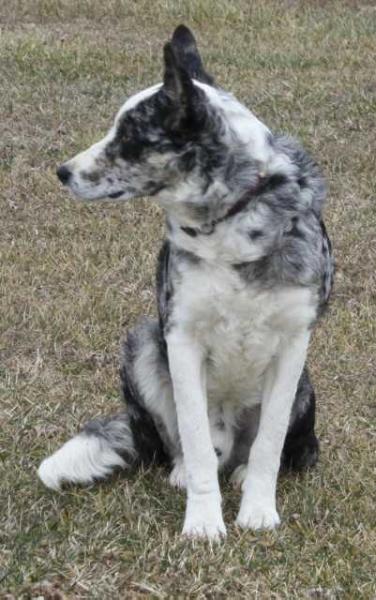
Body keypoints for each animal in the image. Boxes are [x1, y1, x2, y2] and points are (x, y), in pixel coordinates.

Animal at [38, 25, 334, 540]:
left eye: (129, 136)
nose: (63, 171)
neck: (230, 219)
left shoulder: (293, 344)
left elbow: (270, 444)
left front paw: (258, 511)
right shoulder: (181, 339)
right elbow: (195, 444)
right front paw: (203, 523)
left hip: (304, 387)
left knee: (267, 451)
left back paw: (241, 471)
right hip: (142, 343)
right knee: (188, 448)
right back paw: (183, 470)